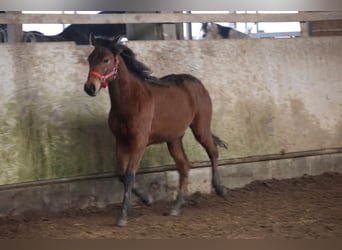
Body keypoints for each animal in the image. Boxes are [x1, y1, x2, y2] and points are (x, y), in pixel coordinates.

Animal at [83, 34, 228, 227]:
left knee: (212, 151)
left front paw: (123, 216)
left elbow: (129, 174)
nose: (90, 87)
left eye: (106, 59)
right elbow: (121, 173)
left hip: (201, 128)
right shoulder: (121, 141)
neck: (130, 100)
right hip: (174, 139)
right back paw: (176, 207)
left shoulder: (139, 142)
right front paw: (147, 199)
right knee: (184, 165)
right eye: (90, 59)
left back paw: (220, 188)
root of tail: (198, 84)